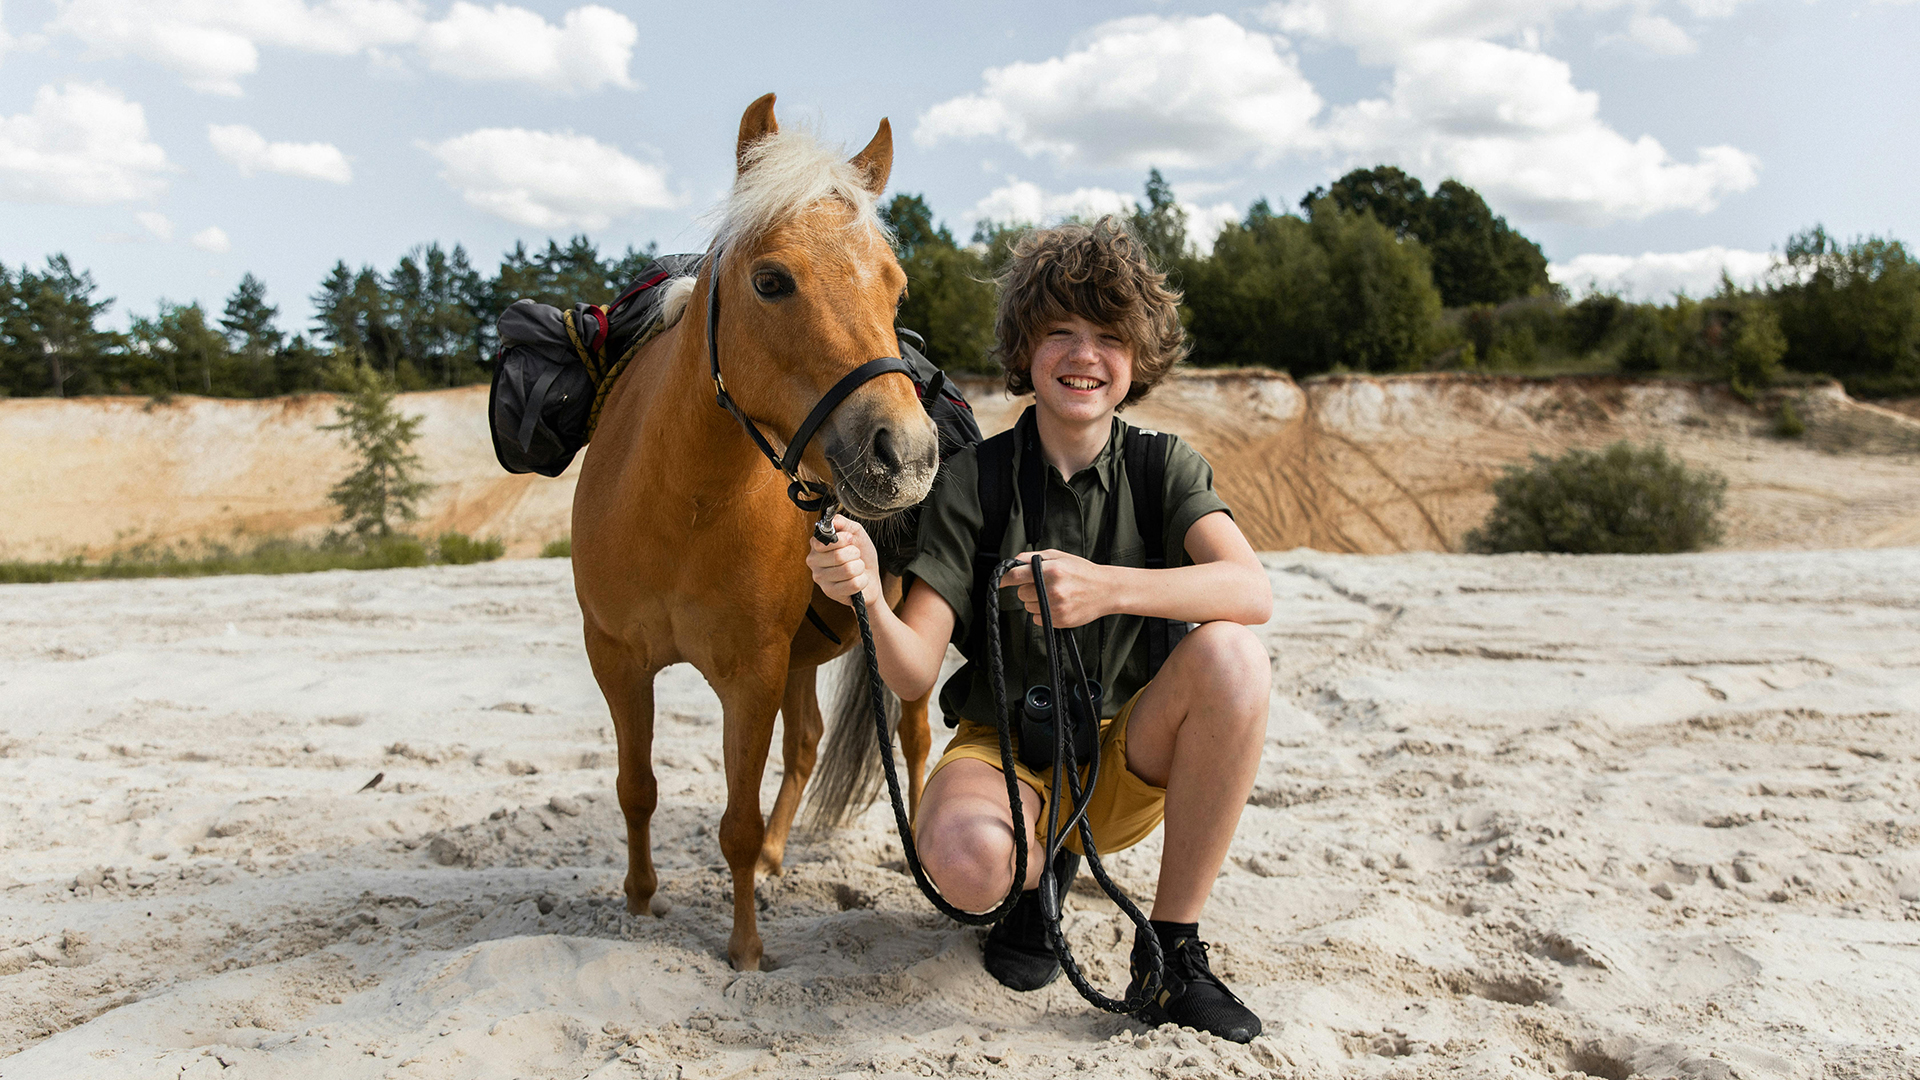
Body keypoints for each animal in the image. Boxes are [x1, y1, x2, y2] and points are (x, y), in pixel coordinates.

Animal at [571, 94, 939, 971]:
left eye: (896, 286)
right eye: (772, 281)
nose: (906, 455)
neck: (681, 507)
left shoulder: (751, 675)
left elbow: (733, 823)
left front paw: (743, 951)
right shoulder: (617, 660)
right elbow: (636, 787)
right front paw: (640, 901)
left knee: (913, 739)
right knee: (806, 743)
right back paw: (778, 853)